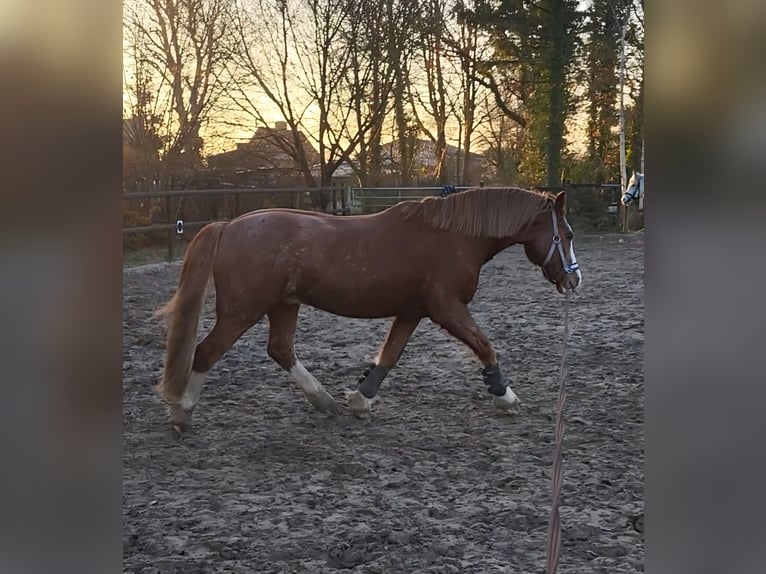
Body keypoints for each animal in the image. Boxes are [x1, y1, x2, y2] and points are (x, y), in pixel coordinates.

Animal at [156, 186, 582, 433]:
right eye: (567, 234)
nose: (574, 280)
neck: (455, 237)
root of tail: (229, 226)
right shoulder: (447, 308)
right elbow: (485, 345)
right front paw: (504, 396)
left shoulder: (413, 311)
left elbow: (389, 355)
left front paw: (361, 400)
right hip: (241, 311)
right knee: (206, 352)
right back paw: (183, 414)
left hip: (283, 305)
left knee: (280, 349)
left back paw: (324, 401)